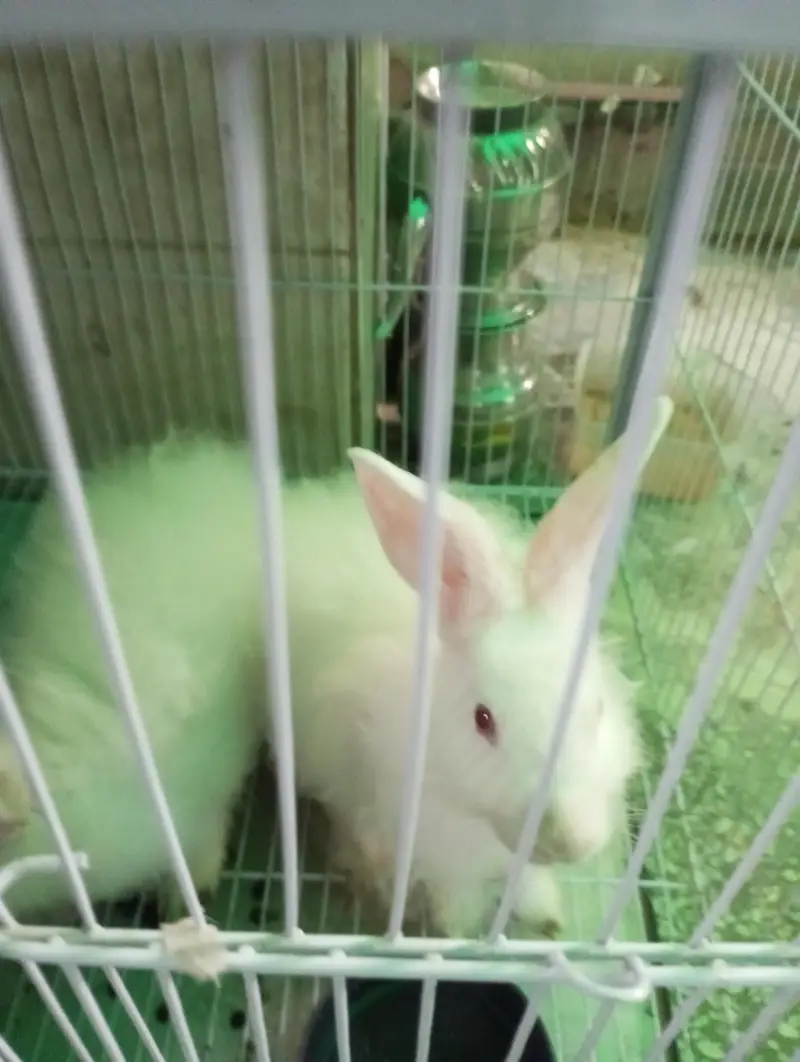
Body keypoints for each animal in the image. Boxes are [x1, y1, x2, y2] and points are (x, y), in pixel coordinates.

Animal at [274, 396, 674, 938]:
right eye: (483, 721)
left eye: (596, 709)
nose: (569, 840)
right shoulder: (435, 853)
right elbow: (456, 901)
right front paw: (456, 929)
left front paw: (546, 915)